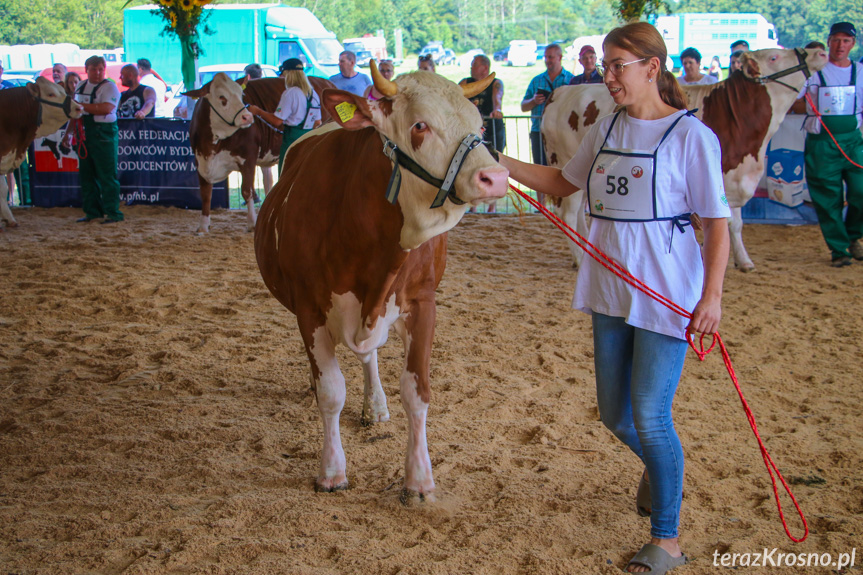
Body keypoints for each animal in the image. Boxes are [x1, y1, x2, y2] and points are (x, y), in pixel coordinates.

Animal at [187, 74, 336, 234]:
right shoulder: (200, 161)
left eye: (241, 95)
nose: (247, 117)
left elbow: (247, 190)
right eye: (222, 97)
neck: (213, 145)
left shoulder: (248, 159)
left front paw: (252, 223)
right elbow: (205, 193)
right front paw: (203, 226)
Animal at [256, 60, 510, 498]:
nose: (494, 176)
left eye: (479, 122)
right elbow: (331, 392)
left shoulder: (422, 302)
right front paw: (332, 471)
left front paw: (420, 479)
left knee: (369, 355)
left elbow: (417, 392)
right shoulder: (309, 309)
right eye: (420, 125)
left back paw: (374, 405)